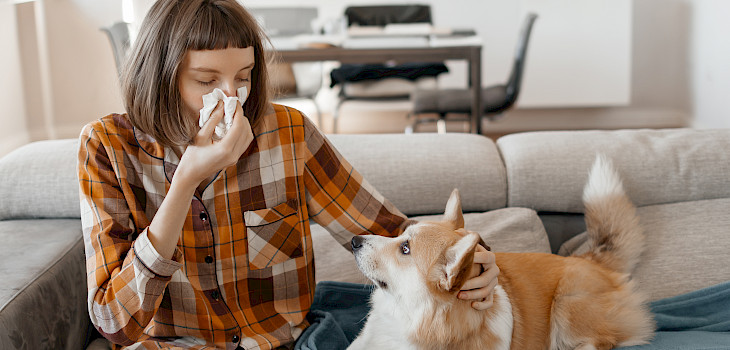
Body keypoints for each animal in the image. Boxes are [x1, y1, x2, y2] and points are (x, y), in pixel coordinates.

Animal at [346, 157, 656, 350]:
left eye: (405, 248)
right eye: (401, 236)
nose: (354, 241)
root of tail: (587, 259)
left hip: (568, 303)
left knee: (601, 340)